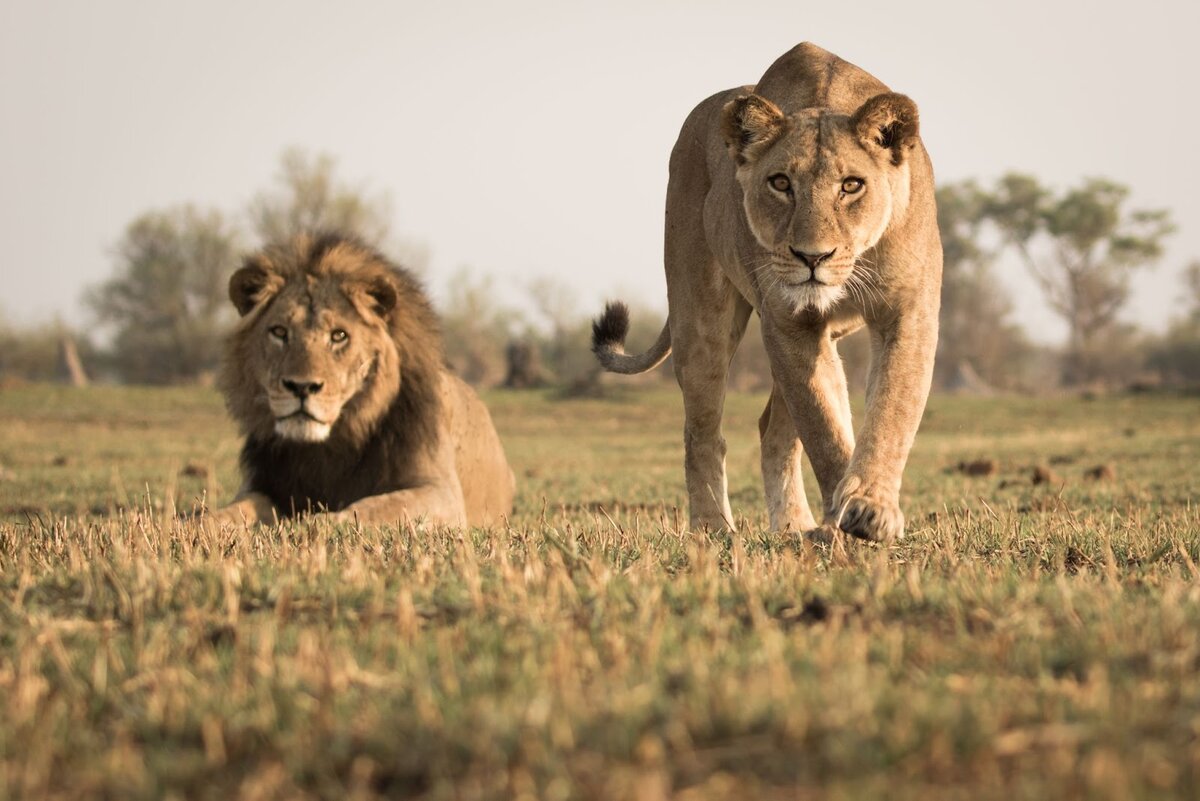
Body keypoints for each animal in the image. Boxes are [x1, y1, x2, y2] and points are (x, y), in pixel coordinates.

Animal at [207, 232, 516, 525]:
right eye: (279, 332)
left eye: (339, 336)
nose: (302, 387)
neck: (328, 447)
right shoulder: (264, 485)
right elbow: (233, 510)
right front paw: (199, 522)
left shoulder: (442, 493)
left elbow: (377, 507)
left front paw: (319, 523)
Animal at [595, 45, 940, 544]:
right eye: (780, 183)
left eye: (851, 185)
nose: (812, 256)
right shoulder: (788, 322)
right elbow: (822, 426)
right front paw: (848, 514)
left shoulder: (908, 312)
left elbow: (892, 408)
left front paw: (868, 508)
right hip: (700, 318)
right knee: (702, 431)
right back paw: (712, 528)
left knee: (773, 429)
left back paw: (796, 525)